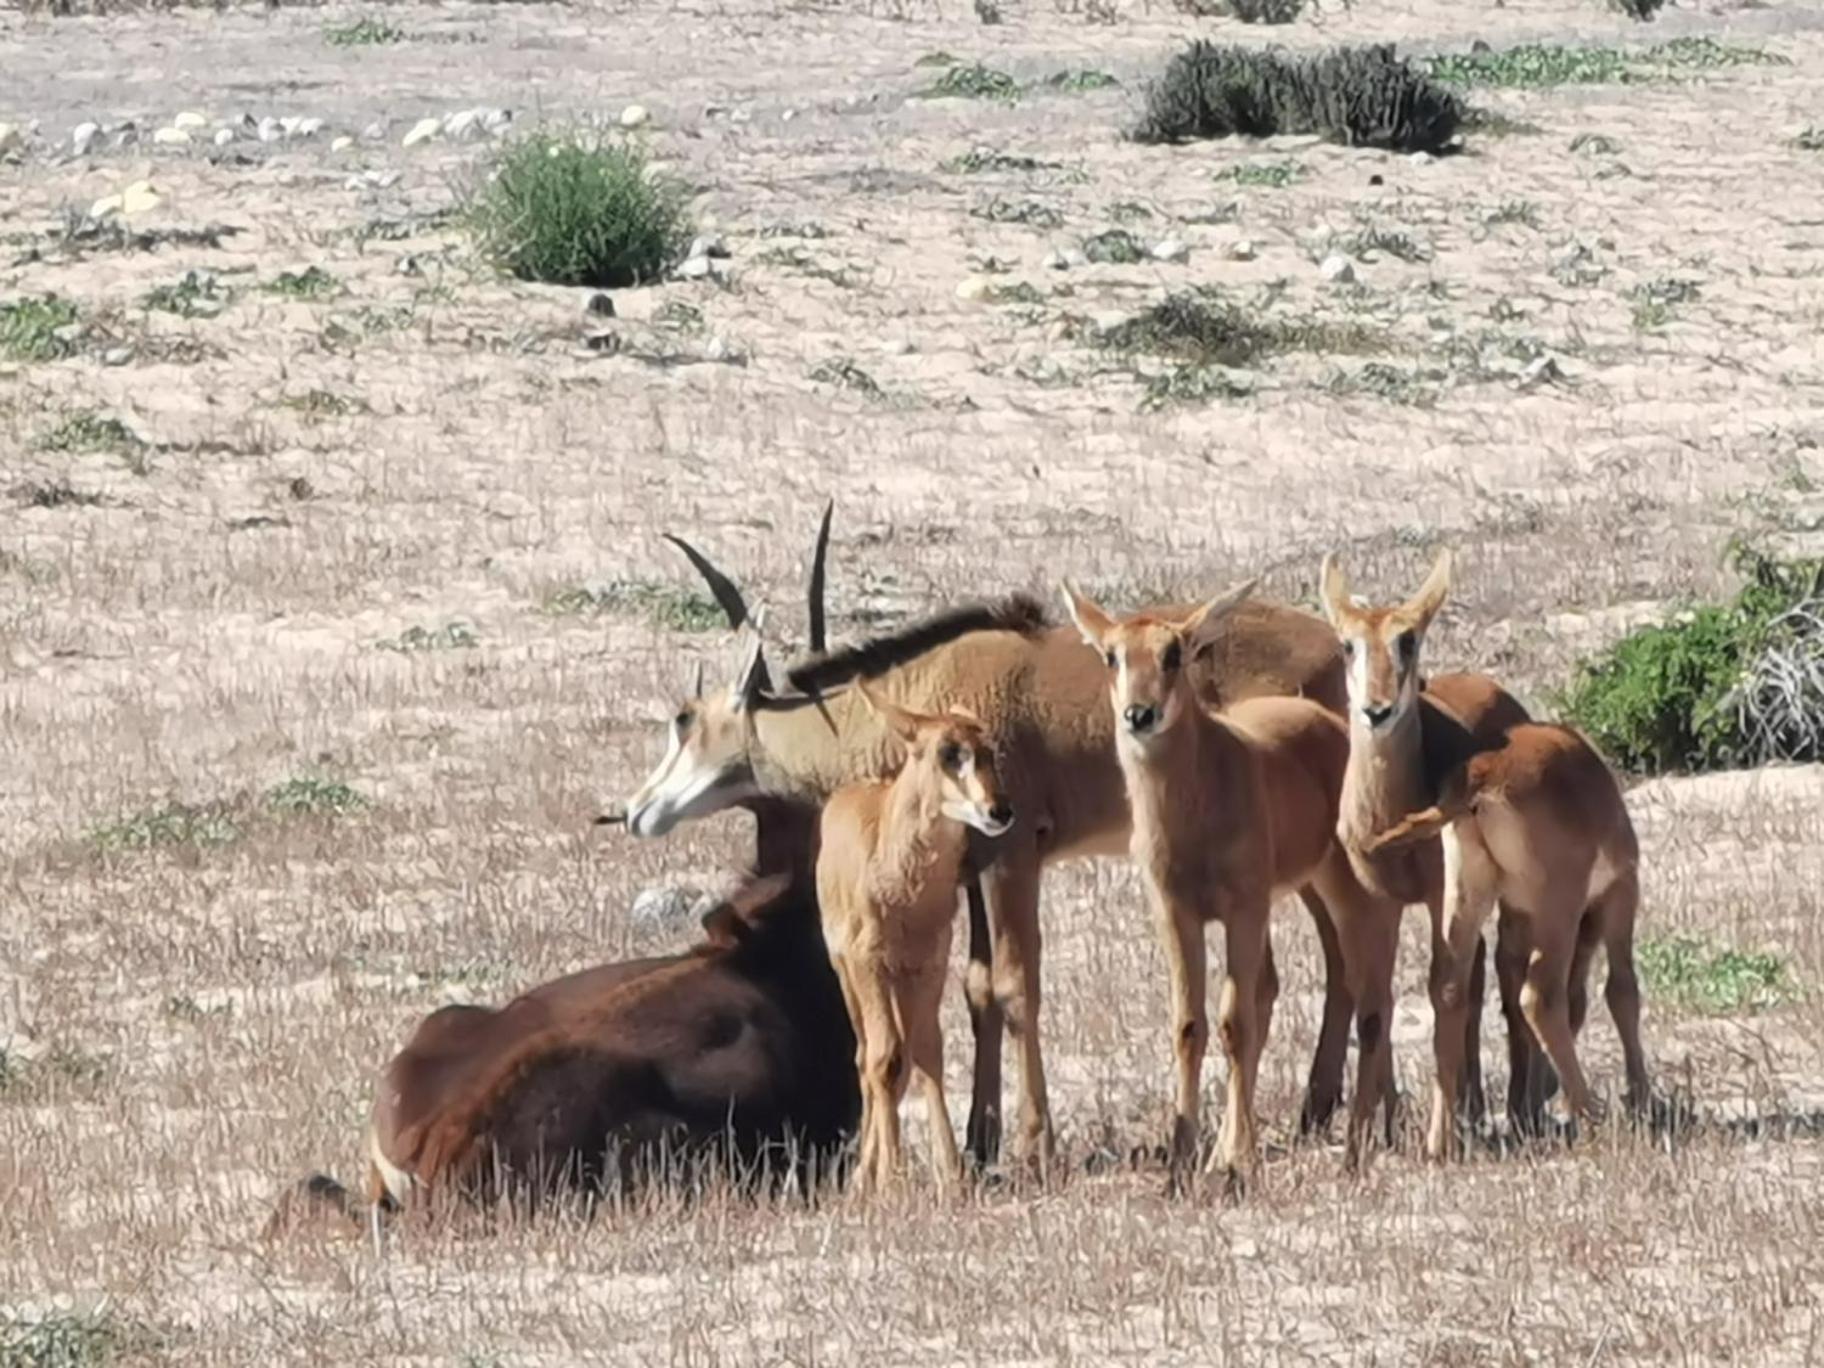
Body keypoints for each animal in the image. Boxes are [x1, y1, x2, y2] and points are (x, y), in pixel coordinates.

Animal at [820, 685, 1021, 1196]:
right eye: (947, 752)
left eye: (989, 750)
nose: (999, 811)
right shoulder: (868, 964)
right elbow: (884, 1058)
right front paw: (891, 1181)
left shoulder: (930, 964)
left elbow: (926, 1051)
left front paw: (951, 1173)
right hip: (848, 976)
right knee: (866, 1057)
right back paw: (864, 1177)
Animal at [1057, 580, 1393, 1189]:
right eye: (1112, 655)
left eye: (1174, 653)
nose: (1139, 714)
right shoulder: (1176, 912)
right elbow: (1190, 1025)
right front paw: (1185, 1163)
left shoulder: (1243, 907)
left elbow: (1237, 1021)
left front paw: (1239, 1162)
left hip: (1343, 889)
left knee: (1370, 992)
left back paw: (1359, 1146)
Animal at [1313, 554, 1554, 1138]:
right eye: (1347, 643)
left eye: (1409, 639)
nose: (1376, 711)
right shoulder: (1377, 902)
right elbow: (1374, 1005)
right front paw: (1375, 1130)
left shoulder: (1441, 893)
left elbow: (1444, 990)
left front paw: (1437, 1134)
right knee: (1483, 969)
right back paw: (1475, 1106)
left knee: (1503, 971)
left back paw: (1518, 1108)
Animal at [1357, 565, 1656, 1160]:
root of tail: (1482, 775)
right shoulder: (1617, 895)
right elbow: (1619, 990)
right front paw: (1641, 1100)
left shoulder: (1514, 914)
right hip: (1557, 910)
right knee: (1540, 996)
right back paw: (1590, 1112)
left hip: (1466, 899)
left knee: (1451, 988)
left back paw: (1442, 1138)